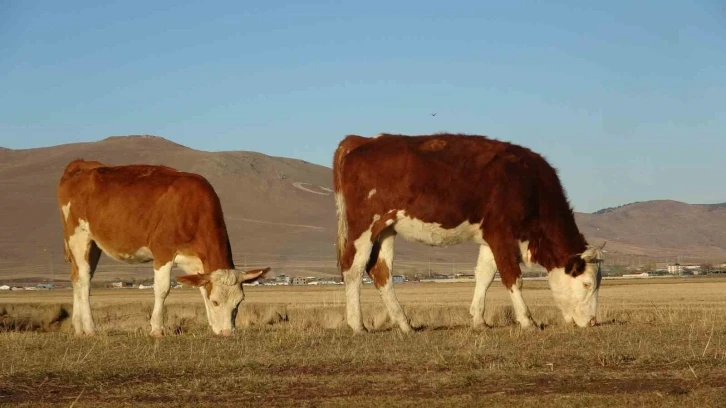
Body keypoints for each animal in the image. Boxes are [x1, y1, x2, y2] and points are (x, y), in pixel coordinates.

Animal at [55, 161, 268, 336]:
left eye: (239, 302)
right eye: (216, 301)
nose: (227, 332)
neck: (192, 209)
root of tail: (81, 165)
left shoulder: (194, 260)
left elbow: (201, 288)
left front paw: (212, 325)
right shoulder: (162, 251)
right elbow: (162, 289)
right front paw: (157, 328)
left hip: (93, 244)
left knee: (78, 278)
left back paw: (78, 328)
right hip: (78, 236)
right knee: (84, 279)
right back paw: (90, 328)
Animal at [332, 132, 604, 334]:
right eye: (587, 283)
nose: (592, 322)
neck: (529, 185)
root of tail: (360, 140)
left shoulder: (489, 238)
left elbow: (484, 275)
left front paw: (479, 320)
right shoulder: (501, 233)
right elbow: (512, 277)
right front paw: (528, 321)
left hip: (386, 229)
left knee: (381, 272)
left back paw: (405, 324)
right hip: (364, 226)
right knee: (353, 269)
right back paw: (358, 325)